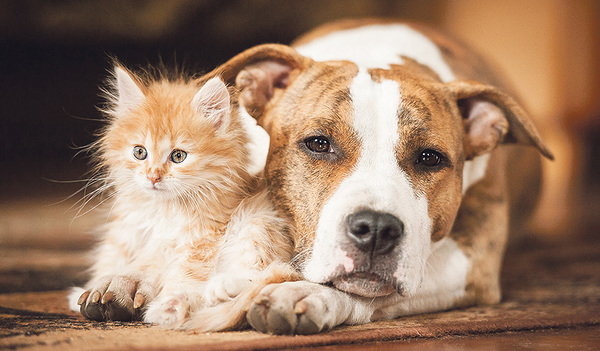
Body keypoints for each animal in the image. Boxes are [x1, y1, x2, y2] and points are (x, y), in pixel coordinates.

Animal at [68, 65, 296, 330]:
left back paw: (215, 290)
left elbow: (186, 271)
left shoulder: (205, 236)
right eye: (139, 152)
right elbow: (115, 262)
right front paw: (88, 291)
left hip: (259, 222)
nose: (153, 177)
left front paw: (168, 305)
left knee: (265, 273)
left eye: (178, 156)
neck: (163, 210)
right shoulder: (127, 232)